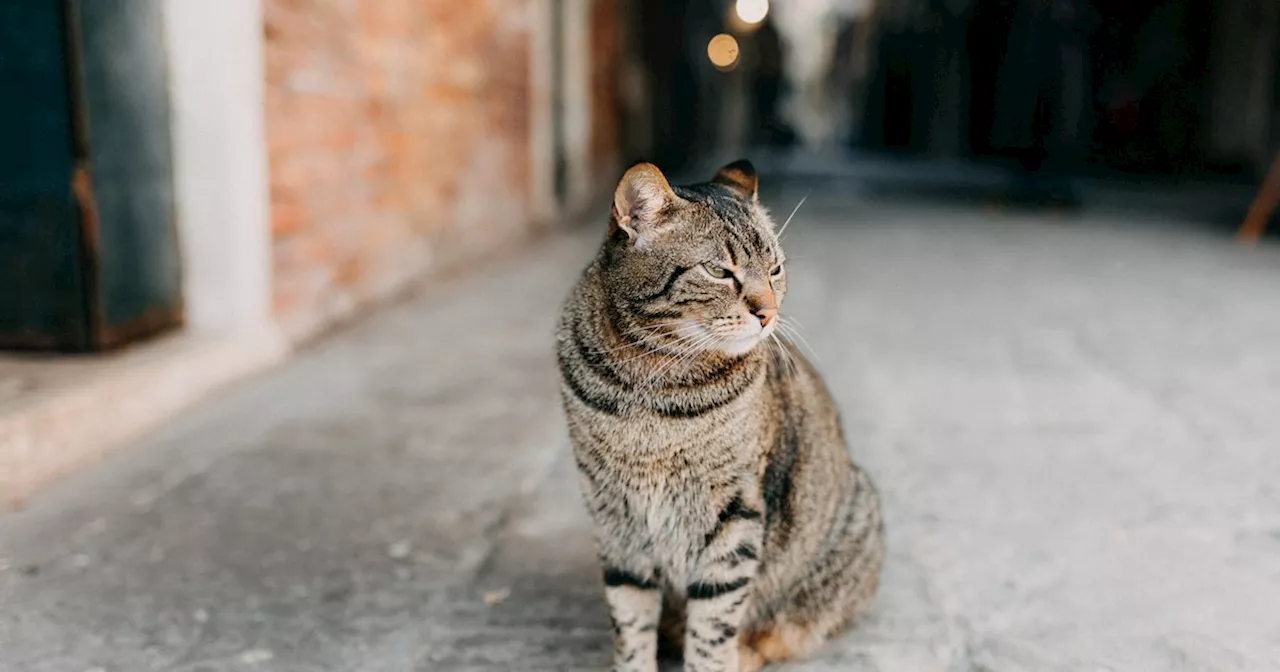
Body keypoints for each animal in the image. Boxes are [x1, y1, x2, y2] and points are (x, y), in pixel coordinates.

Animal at [555, 160, 885, 665]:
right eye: (717, 271)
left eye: (775, 269)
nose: (768, 313)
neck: (649, 382)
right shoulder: (615, 516)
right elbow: (630, 621)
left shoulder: (734, 516)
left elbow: (713, 626)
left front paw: (713, 656)